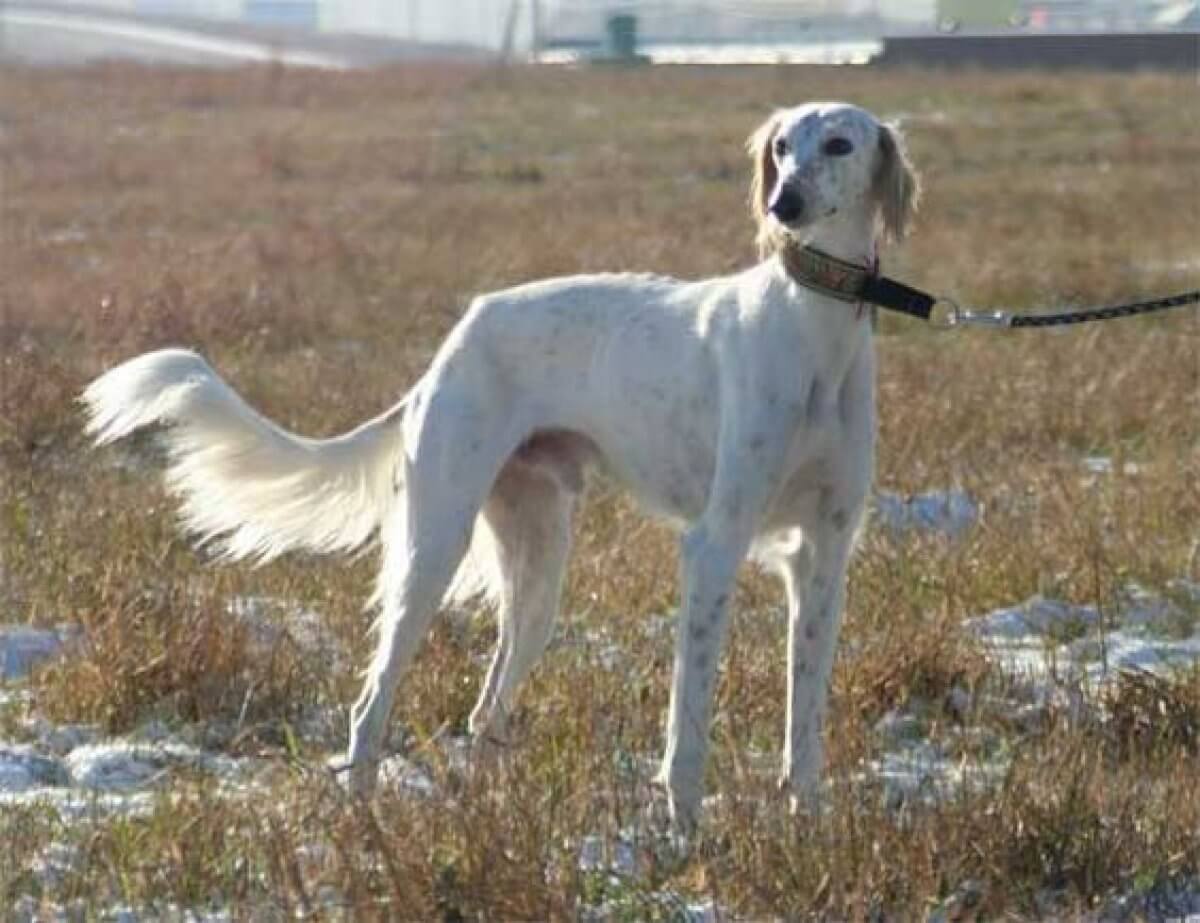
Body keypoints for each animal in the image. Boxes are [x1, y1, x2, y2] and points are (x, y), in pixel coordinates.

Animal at [82, 102, 916, 825]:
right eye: (781, 145)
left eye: (838, 143)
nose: (784, 202)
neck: (813, 330)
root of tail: (454, 341)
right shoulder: (714, 543)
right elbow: (691, 716)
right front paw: (685, 834)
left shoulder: (823, 555)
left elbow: (805, 715)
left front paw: (806, 821)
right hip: (434, 544)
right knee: (370, 701)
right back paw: (363, 820)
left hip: (538, 571)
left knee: (485, 711)